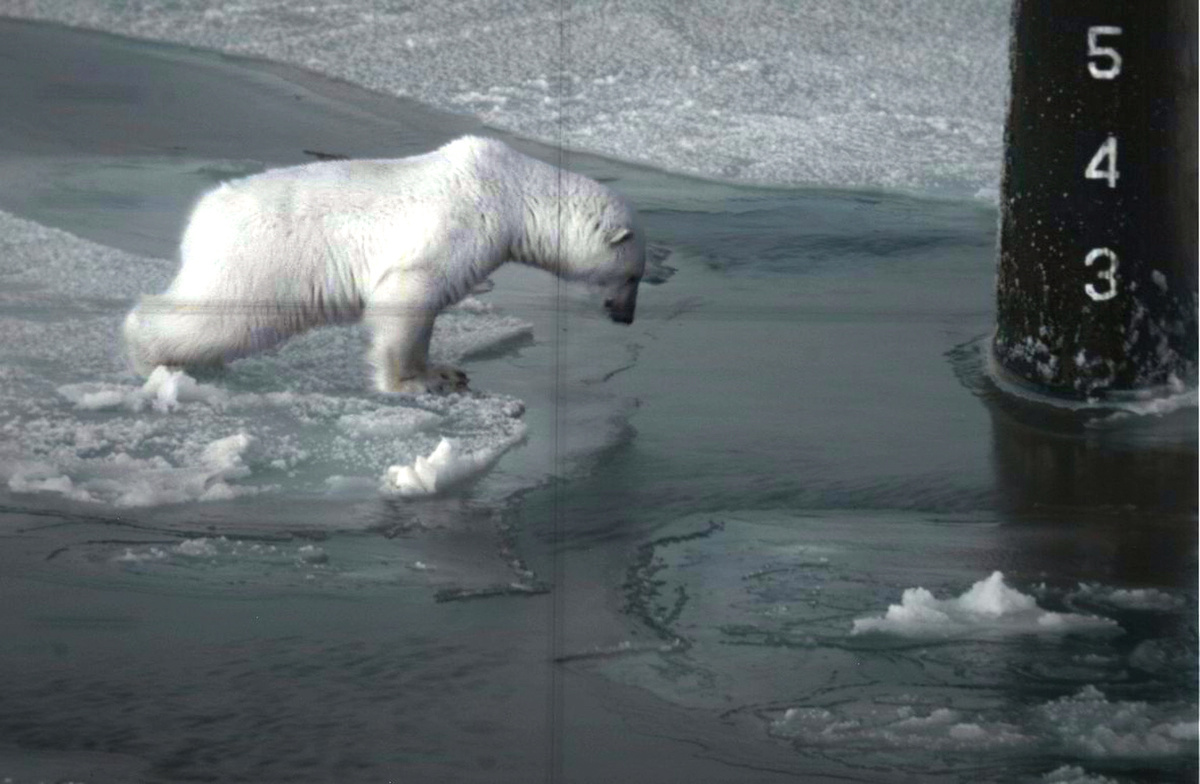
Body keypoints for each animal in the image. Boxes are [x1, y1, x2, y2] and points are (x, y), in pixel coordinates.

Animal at [123, 135, 648, 393]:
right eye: (634, 275)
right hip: (259, 261)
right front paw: (411, 384)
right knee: (221, 318)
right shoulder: (462, 223)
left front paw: (445, 372)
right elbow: (408, 292)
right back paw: (148, 355)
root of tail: (203, 214)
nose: (626, 317)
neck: (514, 192)